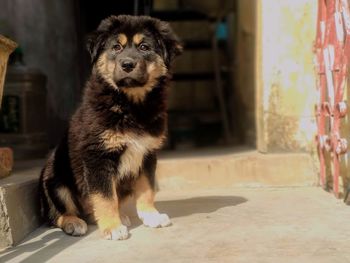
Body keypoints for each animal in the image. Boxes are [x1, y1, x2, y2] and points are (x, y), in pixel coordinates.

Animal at [39, 14, 183, 241]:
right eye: (116, 47)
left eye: (144, 47)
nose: (127, 64)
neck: (130, 104)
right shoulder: (98, 156)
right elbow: (104, 197)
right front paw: (112, 227)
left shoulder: (147, 153)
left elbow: (147, 188)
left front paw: (151, 215)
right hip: (56, 178)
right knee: (57, 214)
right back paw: (73, 222)